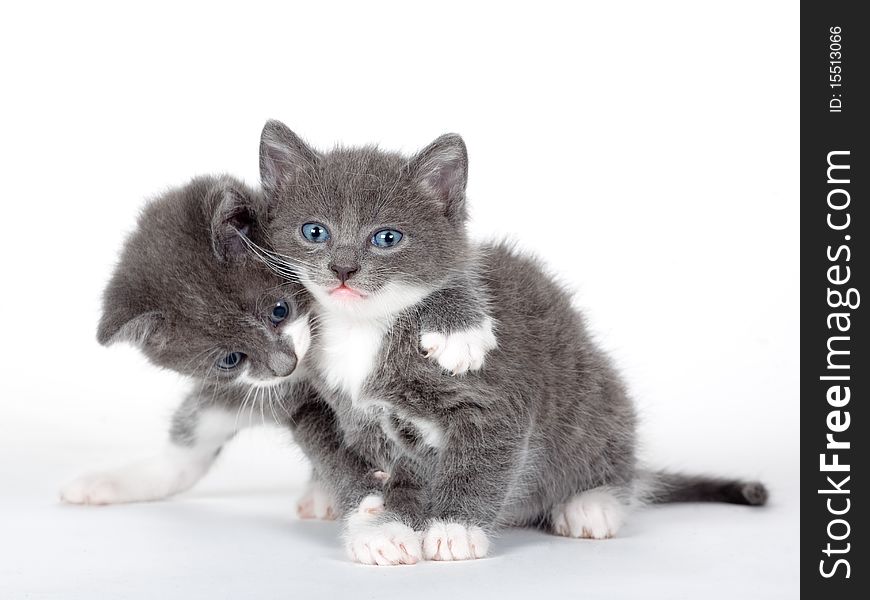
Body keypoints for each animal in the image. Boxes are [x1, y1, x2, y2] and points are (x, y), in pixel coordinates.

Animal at [252, 119, 768, 564]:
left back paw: (592, 502)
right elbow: (365, 470)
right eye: (314, 231)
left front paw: (454, 528)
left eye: (387, 238)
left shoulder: (494, 398)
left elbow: (480, 459)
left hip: (593, 396)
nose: (343, 269)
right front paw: (382, 531)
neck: (363, 328)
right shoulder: (340, 412)